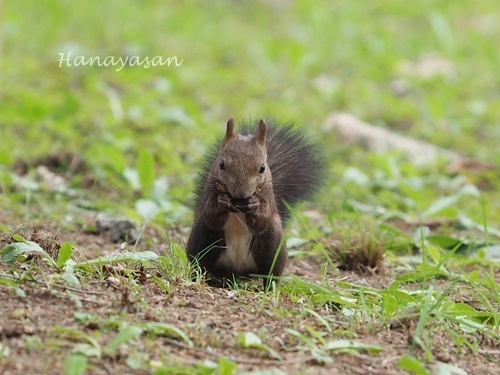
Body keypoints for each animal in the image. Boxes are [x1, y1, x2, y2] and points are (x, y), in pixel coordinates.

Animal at [186, 119, 326, 286]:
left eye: (262, 168)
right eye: (221, 164)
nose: (241, 194)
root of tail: (237, 270)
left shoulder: (268, 197)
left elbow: (263, 219)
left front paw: (254, 206)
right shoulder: (209, 192)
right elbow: (210, 214)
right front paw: (222, 202)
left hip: (273, 242)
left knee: (271, 271)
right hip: (202, 236)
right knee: (199, 262)